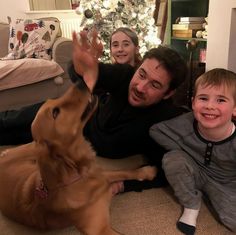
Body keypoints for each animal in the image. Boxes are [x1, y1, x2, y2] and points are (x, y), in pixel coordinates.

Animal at [0, 80, 157, 234]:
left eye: (53, 100)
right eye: (55, 112)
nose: (81, 81)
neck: (75, 174)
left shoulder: (100, 174)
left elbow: (123, 171)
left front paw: (147, 171)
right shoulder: (99, 229)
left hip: (29, 148)